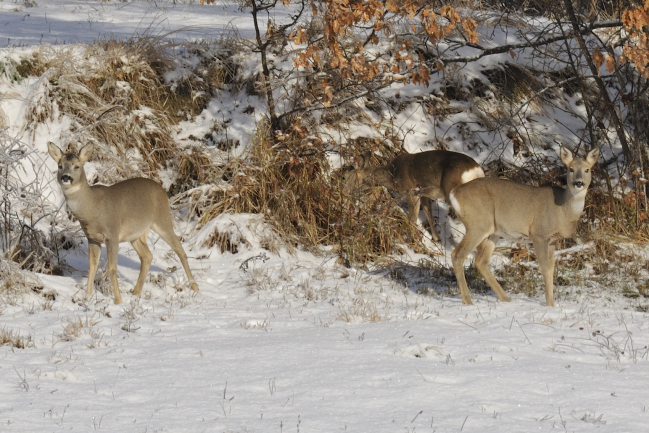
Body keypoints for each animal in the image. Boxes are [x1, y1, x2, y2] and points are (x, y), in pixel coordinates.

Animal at [48, 143, 197, 304]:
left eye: (77, 166)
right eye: (60, 165)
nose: (65, 177)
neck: (92, 208)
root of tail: (162, 190)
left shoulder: (112, 234)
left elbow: (112, 268)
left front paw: (118, 301)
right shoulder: (92, 238)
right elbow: (92, 266)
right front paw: (88, 296)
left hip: (161, 219)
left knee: (179, 249)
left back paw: (195, 287)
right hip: (136, 234)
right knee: (147, 256)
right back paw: (136, 293)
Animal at [342, 149, 484, 241]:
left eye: (344, 177)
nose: (342, 191)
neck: (392, 175)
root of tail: (476, 171)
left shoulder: (411, 191)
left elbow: (413, 218)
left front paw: (411, 240)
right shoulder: (424, 194)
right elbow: (428, 213)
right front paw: (436, 239)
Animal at [448, 146, 600, 308]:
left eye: (587, 169)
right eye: (571, 169)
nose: (579, 183)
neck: (563, 209)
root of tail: (454, 192)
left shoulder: (552, 240)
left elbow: (551, 268)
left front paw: (552, 304)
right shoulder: (539, 234)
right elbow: (545, 268)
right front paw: (549, 305)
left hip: (493, 231)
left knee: (481, 261)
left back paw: (505, 299)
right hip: (478, 224)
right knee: (457, 255)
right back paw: (468, 301)